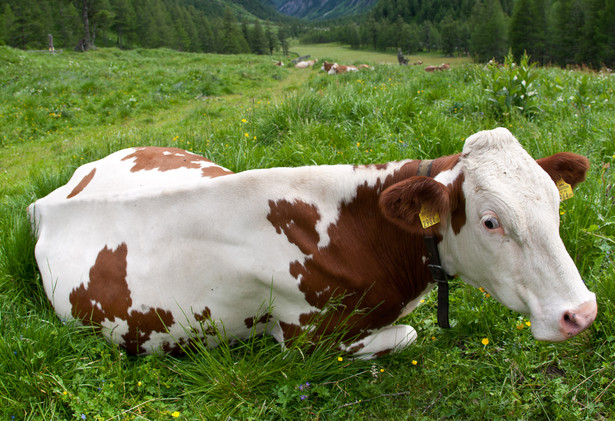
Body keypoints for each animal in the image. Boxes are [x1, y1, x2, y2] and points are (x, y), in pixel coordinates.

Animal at [27, 127, 596, 354]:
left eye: (555, 202)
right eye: (491, 222)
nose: (582, 312)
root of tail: (50, 197)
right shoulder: (308, 341)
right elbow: (409, 335)